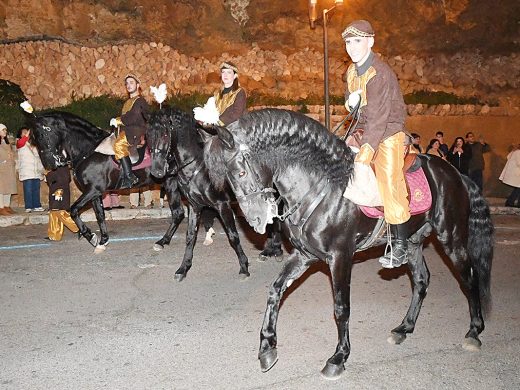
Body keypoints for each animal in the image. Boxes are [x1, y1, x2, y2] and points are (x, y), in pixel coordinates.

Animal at [30, 111, 181, 254]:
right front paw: (102, 241)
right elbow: (100, 216)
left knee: (177, 213)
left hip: (171, 184)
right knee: (179, 213)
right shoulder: (96, 194)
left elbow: (73, 210)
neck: (89, 150)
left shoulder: (93, 190)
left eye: (43, 133)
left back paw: (162, 242)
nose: (49, 164)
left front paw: (90, 236)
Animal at [201, 108, 494, 380]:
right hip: (413, 242)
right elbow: (275, 290)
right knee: (421, 281)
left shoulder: (340, 256)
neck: (320, 187)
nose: (257, 220)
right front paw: (267, 347)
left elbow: (341, 308)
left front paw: (339, 357)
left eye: (240, 171)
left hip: (451, 237)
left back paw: (474, 331)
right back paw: (404, 327)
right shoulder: (304, 255)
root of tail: (456, 174)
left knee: (469, 278)